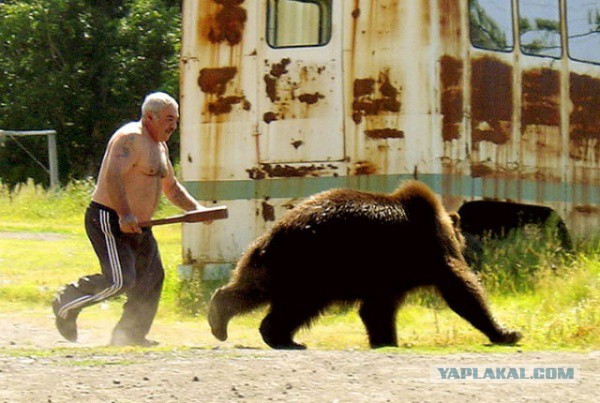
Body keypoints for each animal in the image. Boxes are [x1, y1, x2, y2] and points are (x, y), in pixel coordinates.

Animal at [209, 181, 524, 348]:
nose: (468, 244)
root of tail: (276, 231)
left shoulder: (388, 275)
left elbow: (377, 310)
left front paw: (385, 340)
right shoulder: (428, 250)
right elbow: (460, 288)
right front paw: (507, 332)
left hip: (273, 263)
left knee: (252, 288)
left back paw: (223, 319)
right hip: (314, 264)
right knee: (299, 305)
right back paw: (281, 337)